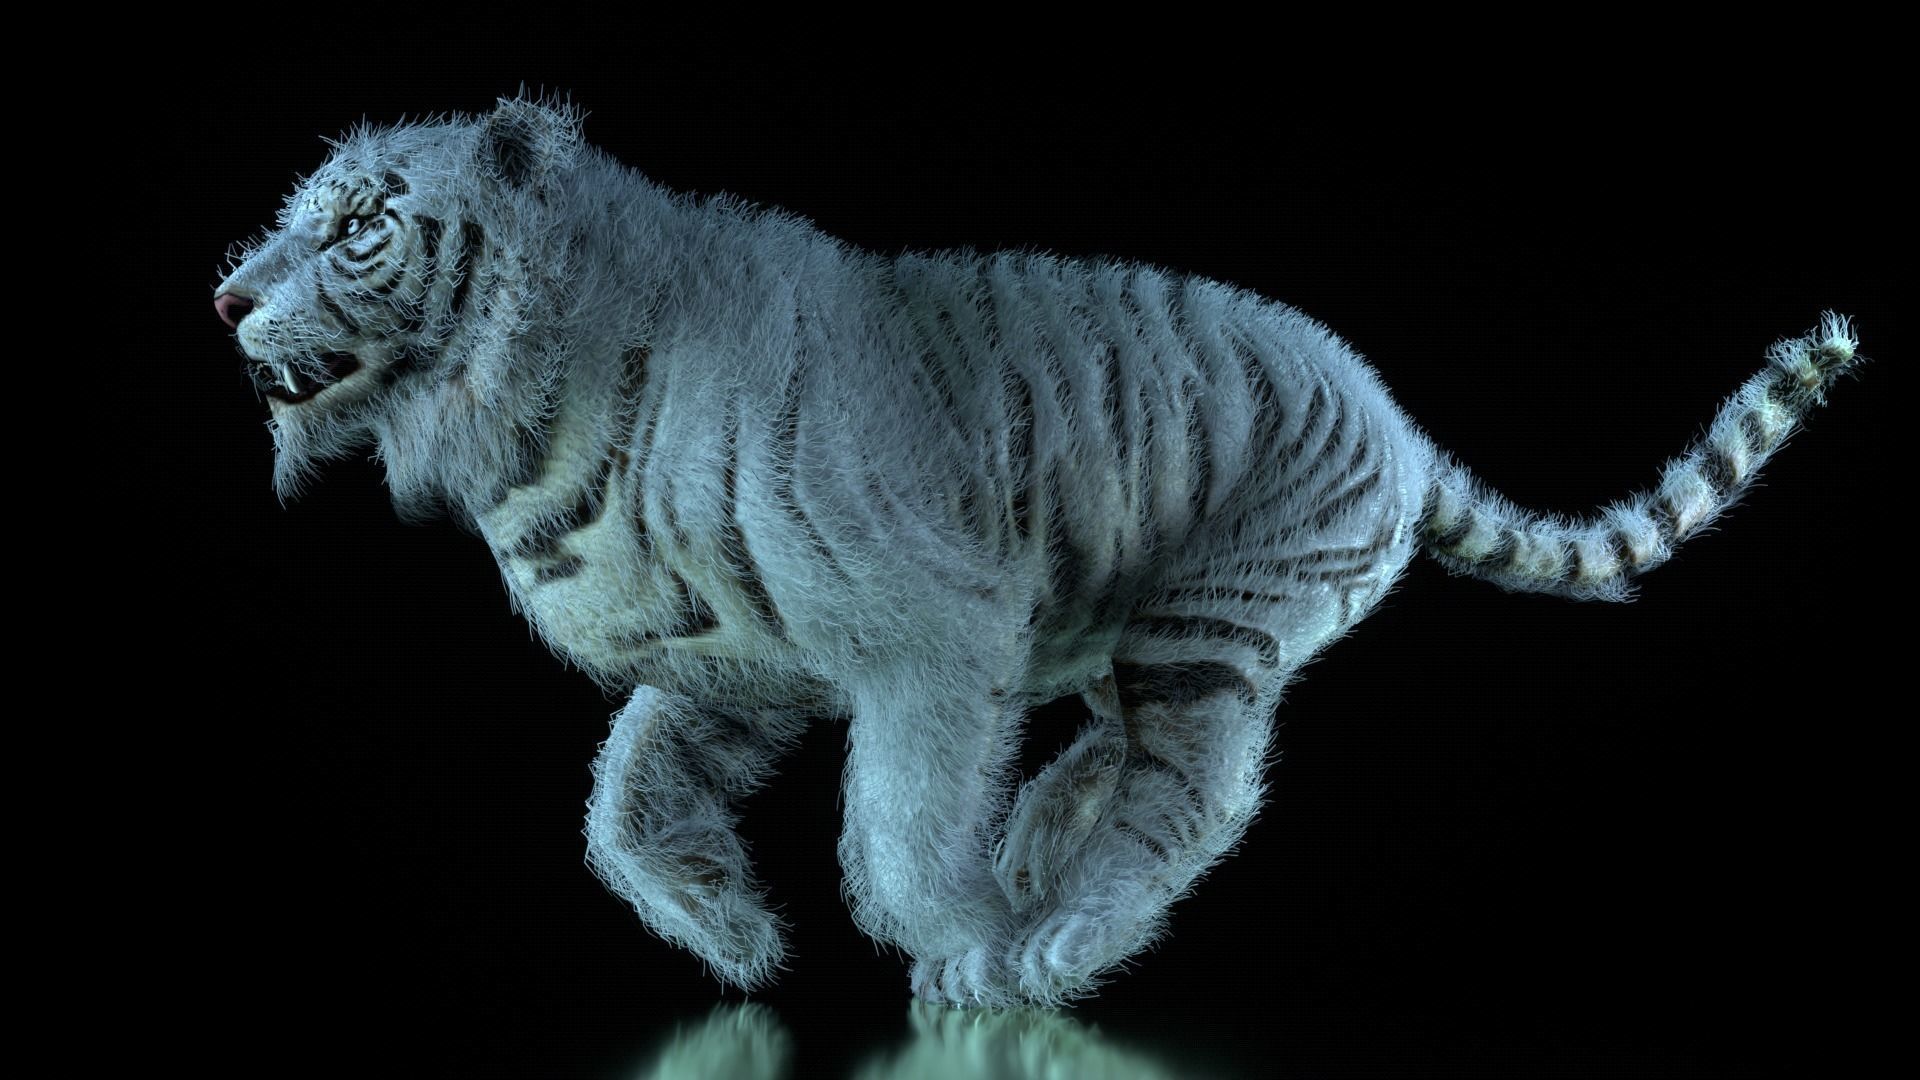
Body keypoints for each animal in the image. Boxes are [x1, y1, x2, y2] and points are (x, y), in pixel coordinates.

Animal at [213, 95, 1865, 1008]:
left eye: (358, 226)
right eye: (289, 218)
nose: (226, 296)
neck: (530, 415)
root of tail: (1396, 419)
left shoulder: (926, 639)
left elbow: (893, 821)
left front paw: (962, 956)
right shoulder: (736, 661)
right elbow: (620, 801)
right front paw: (734, 940)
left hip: (1211, 623)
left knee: (1192, 794)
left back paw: (1061, 936)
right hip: (1153, 635)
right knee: (1114, 751)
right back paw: (1037, 847)